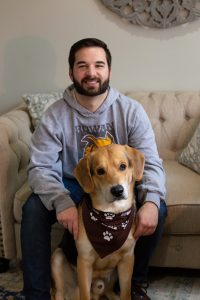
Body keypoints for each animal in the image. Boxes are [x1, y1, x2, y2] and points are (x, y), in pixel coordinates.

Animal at [50, 144, 145, 298]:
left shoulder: (127, 259)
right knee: (59, 293)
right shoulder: (84, 262)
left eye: (123, 166)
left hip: (111, 280)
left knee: (110, 291)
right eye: (100, 171)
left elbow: (126, 293)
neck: (111, 217)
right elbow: (85, 295)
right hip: (57, 259)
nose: (117, 190)